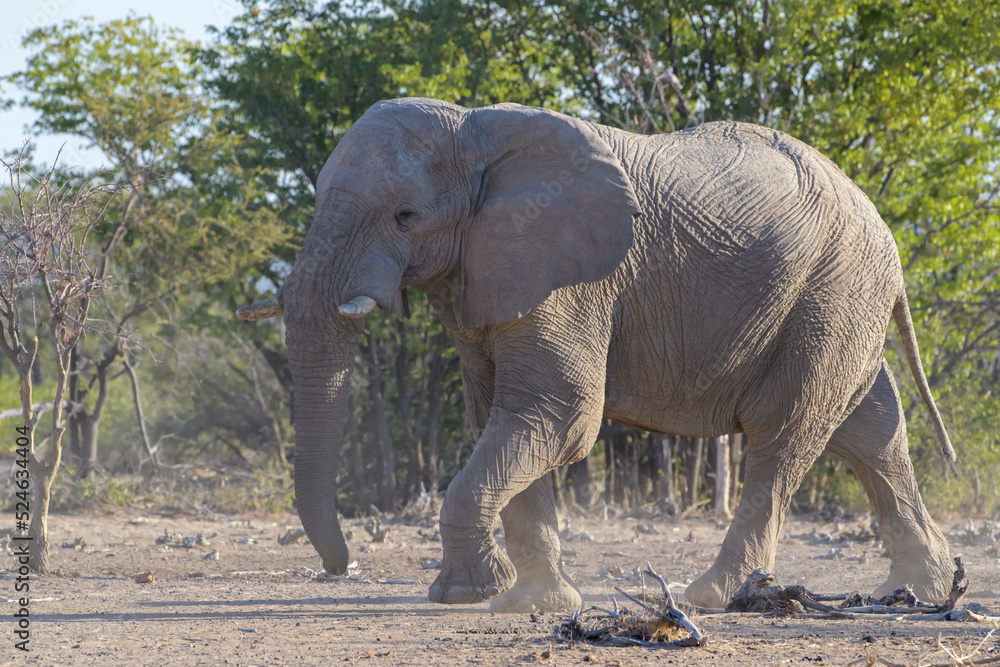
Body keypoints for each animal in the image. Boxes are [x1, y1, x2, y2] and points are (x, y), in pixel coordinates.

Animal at [237, 97, 957, 611]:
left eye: (405, 215)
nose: (342, 566)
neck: (473, 129)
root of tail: (887, 236)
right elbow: (502, 414)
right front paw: (532, 603)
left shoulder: (572, 277)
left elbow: (557, 414)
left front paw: (470, 594)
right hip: (840, 299)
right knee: (871, 432)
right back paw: (925, 588)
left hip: (831, 292)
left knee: (783, 434)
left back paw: (710, 596)